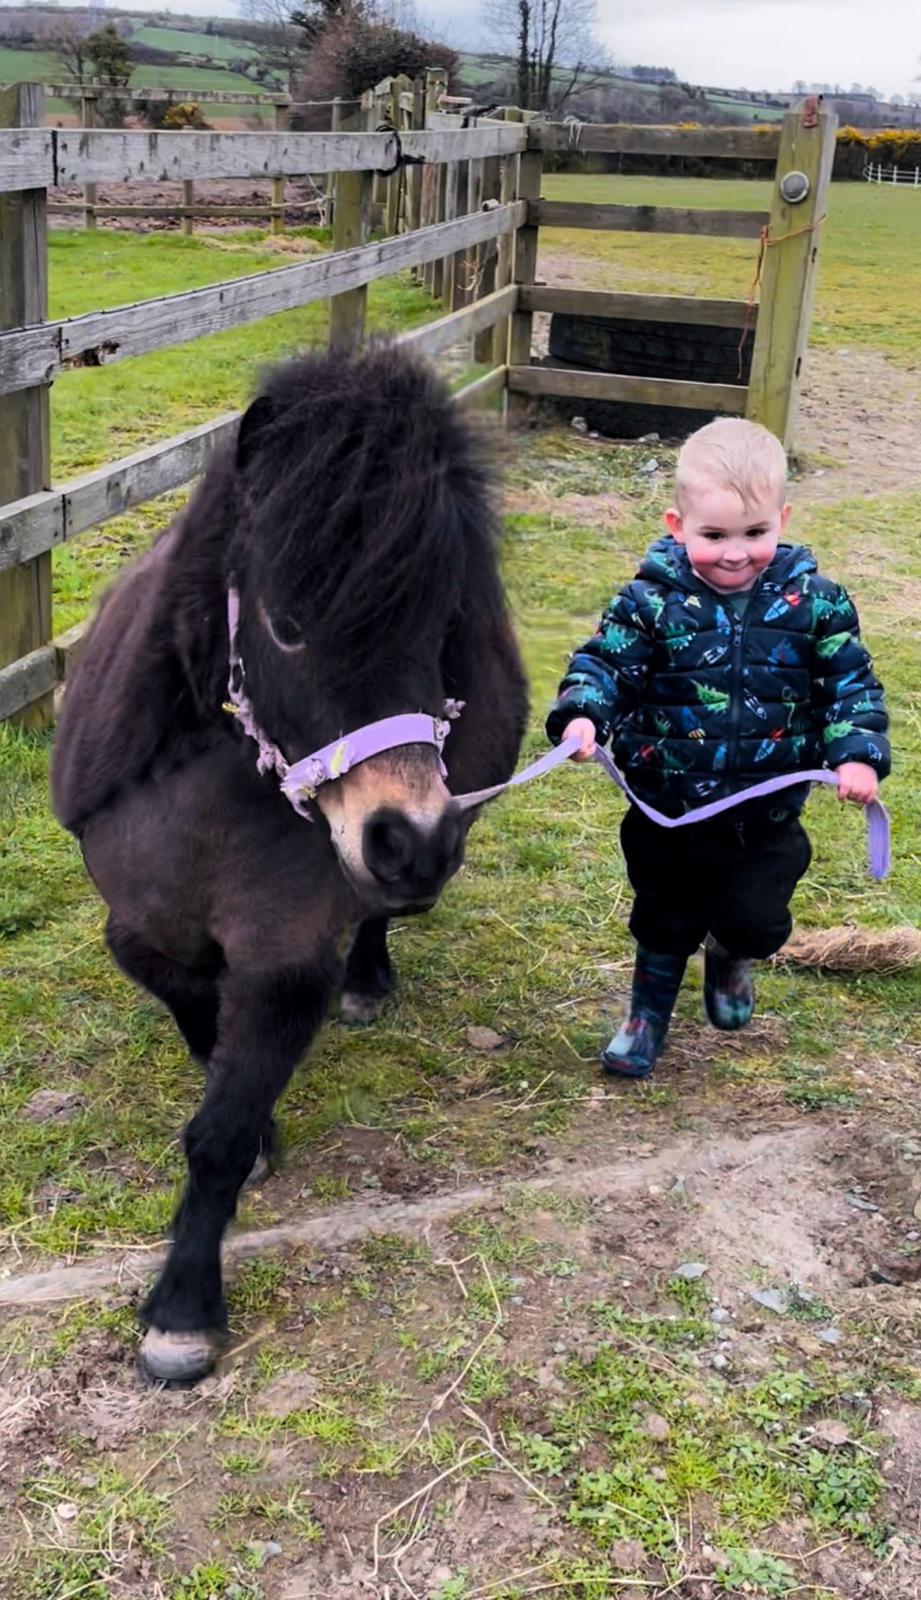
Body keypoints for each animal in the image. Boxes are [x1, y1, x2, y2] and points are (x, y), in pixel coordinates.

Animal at [52, 343, 528, 1384]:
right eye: (288, 625)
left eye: (441, 622)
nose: (413, 840)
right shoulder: (136, 932)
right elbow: (196, 1020)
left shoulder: (288, 959)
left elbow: (220, 1134)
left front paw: (182, 1313)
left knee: (376, 919)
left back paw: (372, 977)